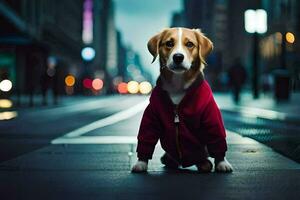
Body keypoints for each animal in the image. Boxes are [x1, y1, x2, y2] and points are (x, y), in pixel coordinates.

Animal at [132, 27, 233, 173]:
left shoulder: (211, 115)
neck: (178, 84)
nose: (178, 57)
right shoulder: (151, 115)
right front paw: (141, 162)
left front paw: (222, 162)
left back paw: (204, 163)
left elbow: (217, 137)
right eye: (169, 43)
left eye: (190, 44)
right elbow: (146, 136)